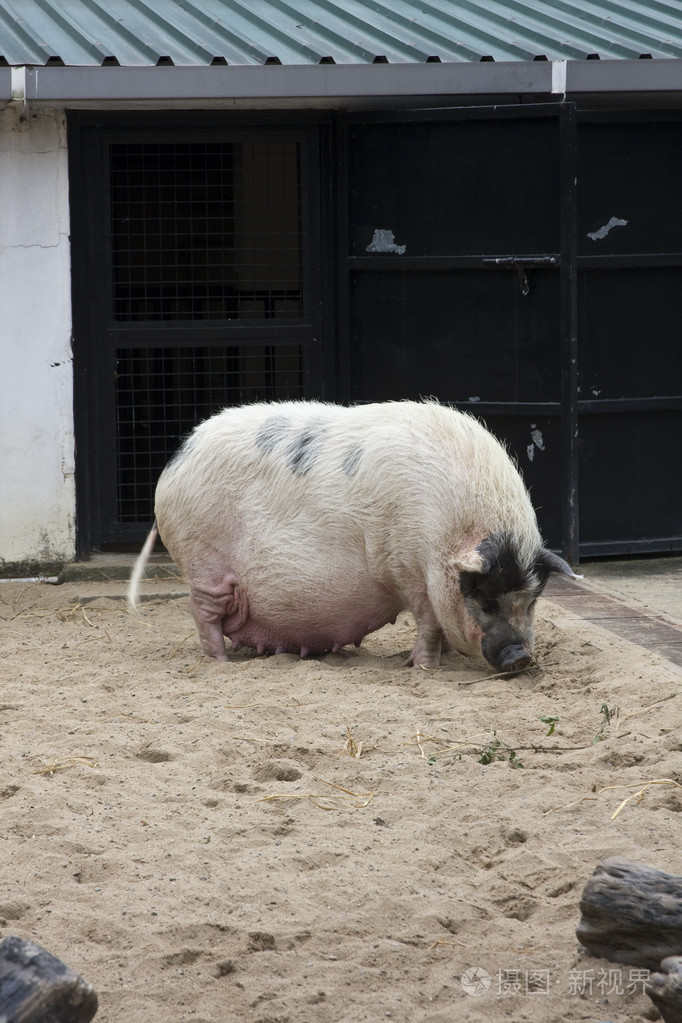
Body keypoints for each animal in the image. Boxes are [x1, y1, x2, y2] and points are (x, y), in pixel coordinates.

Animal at [127, 400, 579, 672]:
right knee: (202, 612)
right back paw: (221, 663)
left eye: (532, 600)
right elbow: (429, 622)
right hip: (204, 563)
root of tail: (178, 458)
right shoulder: (406, 568)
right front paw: (423, 667)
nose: (520, 657)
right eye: (485, 601)